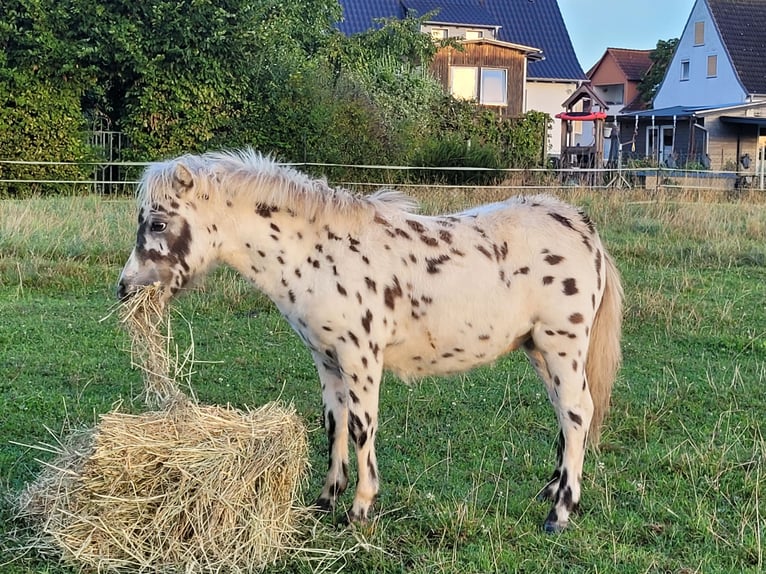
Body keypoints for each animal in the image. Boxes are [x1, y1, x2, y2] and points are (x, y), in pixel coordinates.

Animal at [118, 150, 624, 536]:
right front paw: (327, 498)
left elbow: (363, 426)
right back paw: (552, 489)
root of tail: (583, 229)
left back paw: (560, 512)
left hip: (562, 347)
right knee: (566, 415)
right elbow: (335, 423)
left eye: (158, 224)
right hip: (538, 349)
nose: (124, 288)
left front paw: (360, 507)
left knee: (578, 412)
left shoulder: (360, 357)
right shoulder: (326, 360)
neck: (318, 255)